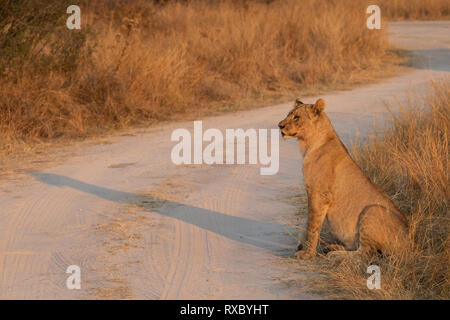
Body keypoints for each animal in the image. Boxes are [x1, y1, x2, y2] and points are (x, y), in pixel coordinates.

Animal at [278, 99, 408, 258]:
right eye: (288, 114)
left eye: (296, 117)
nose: (279, 125)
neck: (308, 144)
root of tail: (411, 240)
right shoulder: (311, 192)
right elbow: (306, 222)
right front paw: (301, 247)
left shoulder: (319, 194)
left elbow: (312, 227)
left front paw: (307, 254)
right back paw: (333, 248)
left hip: (371, 210)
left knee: (365, 253)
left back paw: (336, 255)